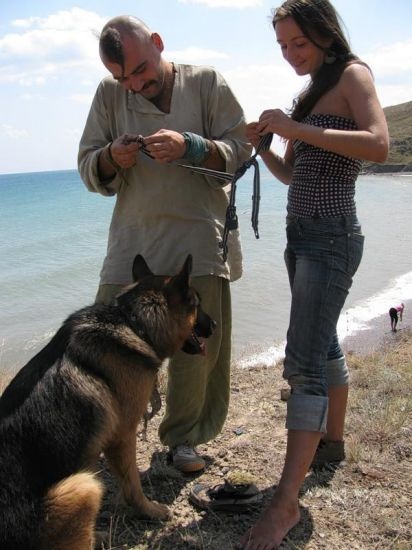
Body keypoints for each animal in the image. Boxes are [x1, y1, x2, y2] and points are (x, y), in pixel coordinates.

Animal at [0, 256, 216, 548]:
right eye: (198, 304)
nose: (214, 325)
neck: (134, 323)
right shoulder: (123, 435)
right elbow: (132, 483)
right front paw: (149, 510)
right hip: (82, 486)